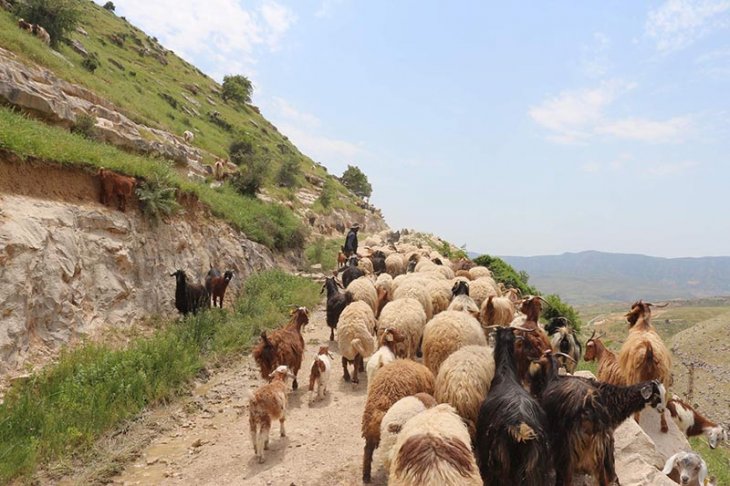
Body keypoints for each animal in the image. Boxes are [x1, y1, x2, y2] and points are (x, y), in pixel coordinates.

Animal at [616, 300, 672, 432]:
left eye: (633, 309)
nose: (628, 319)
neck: (643, 326)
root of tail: (649, 352)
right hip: (664, 381)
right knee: (664, 403)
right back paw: (664, 426)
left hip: (634, 378)